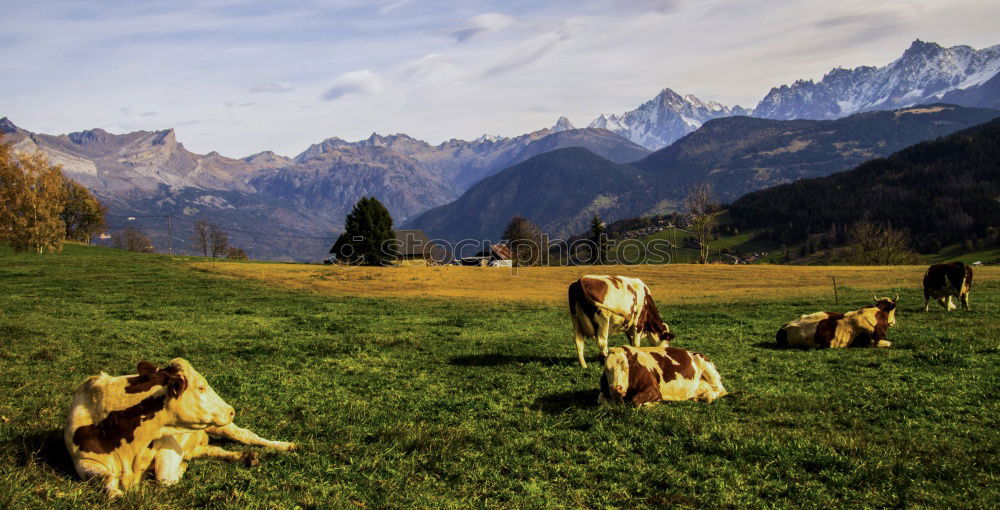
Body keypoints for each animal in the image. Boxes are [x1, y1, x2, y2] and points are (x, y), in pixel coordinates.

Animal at [64, 356, 292, 496]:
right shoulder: (83, 460)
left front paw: (180, 468)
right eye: (201, 387)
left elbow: (165, 478)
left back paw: (285, 445)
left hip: (220, 426)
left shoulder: (169, 445)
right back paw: (244, 456)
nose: (231, 410)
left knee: (247, 435)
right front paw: (116, 493)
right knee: (213, 450)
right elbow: (106, 478)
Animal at [592, 342, 728, 406]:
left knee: (721, 390)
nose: (616, 388)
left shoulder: (654, 389)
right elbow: (600, 400)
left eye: (626, 368)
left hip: (707, 368)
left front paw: (653, 403)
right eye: (606, 369)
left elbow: (636, 400)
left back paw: (708, 397)